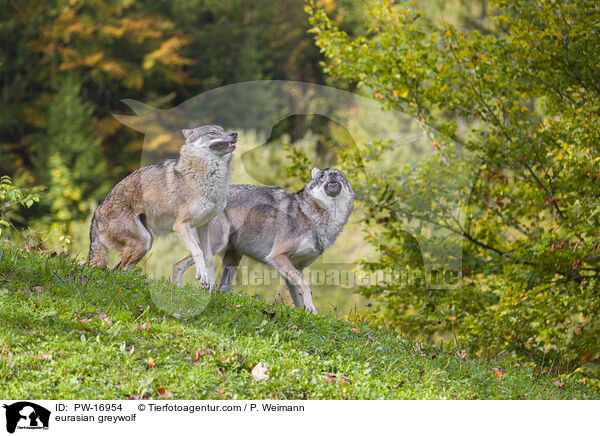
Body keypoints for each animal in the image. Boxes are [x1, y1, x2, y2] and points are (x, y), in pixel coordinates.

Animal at [88, 123, 237, 286]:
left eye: (223, 130)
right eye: (212, 133)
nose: (234, 134)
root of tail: (97, 212)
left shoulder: (203, 225)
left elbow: (208, 256)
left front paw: (209, 283)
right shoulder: (180, 226)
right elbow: (198, 252)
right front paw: (202, 275)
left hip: (146, 243)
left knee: (115, 270)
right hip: (143, 243)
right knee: (119, 271)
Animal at [171, 167, 354, 314]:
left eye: (339, 175)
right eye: (322, 176)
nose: (332, 175)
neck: (311, 215)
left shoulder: (296, 267)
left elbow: (298, 297)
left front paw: (304, 314)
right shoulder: (278, 256)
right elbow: (306, 286)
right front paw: (312, 309)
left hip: (233, 259)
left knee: (221, 288)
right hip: (215, 246)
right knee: (177, 265)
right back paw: (176, 293)